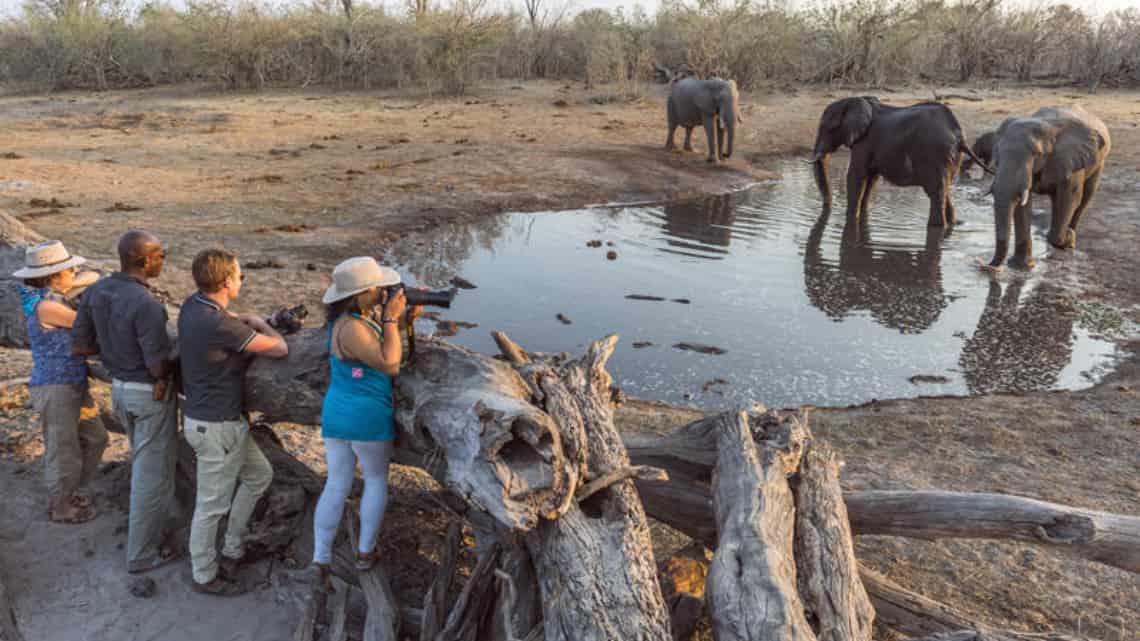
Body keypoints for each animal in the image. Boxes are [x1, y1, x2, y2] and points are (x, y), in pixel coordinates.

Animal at [811, 94, 989, 224]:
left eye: (827, 128)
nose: (827, 207)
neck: (854, 100)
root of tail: (959, 134)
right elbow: (871, 179)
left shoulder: (864, 143)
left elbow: (856, 176)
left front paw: (850, 219)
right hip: (949, 158)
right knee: (944, 192)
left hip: (936, 154)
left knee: (935, 193)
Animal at [984, 104, 1108, 266]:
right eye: (997, 152)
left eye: (1037, 154)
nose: (988, 266)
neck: (1048, 125)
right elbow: (1023, 203)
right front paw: (1022, 266)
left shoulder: (1071, 160)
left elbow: (1070, 197)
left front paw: (1066, 238)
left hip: (1099, 162)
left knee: (1085, 198)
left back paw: (1070, 238)